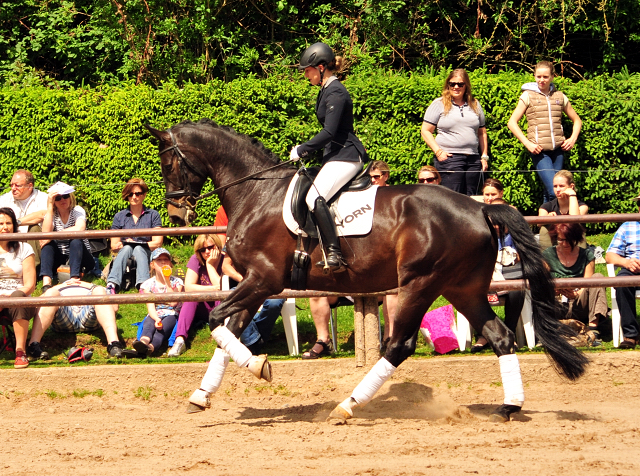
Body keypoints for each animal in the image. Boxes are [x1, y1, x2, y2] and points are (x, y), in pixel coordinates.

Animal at [148, 120, 588, 424]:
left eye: (168, 163)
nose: (176, 215)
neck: (257, 194)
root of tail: (480, 208)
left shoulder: (263, 279)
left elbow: (218, 323)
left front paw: (260, 367)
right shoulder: (257, 285)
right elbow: (228, 331)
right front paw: (201, 395)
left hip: (419, 284)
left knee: (398, 346)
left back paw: (347, 406)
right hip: (462, 288)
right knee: (499, 336)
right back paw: (509, 406)